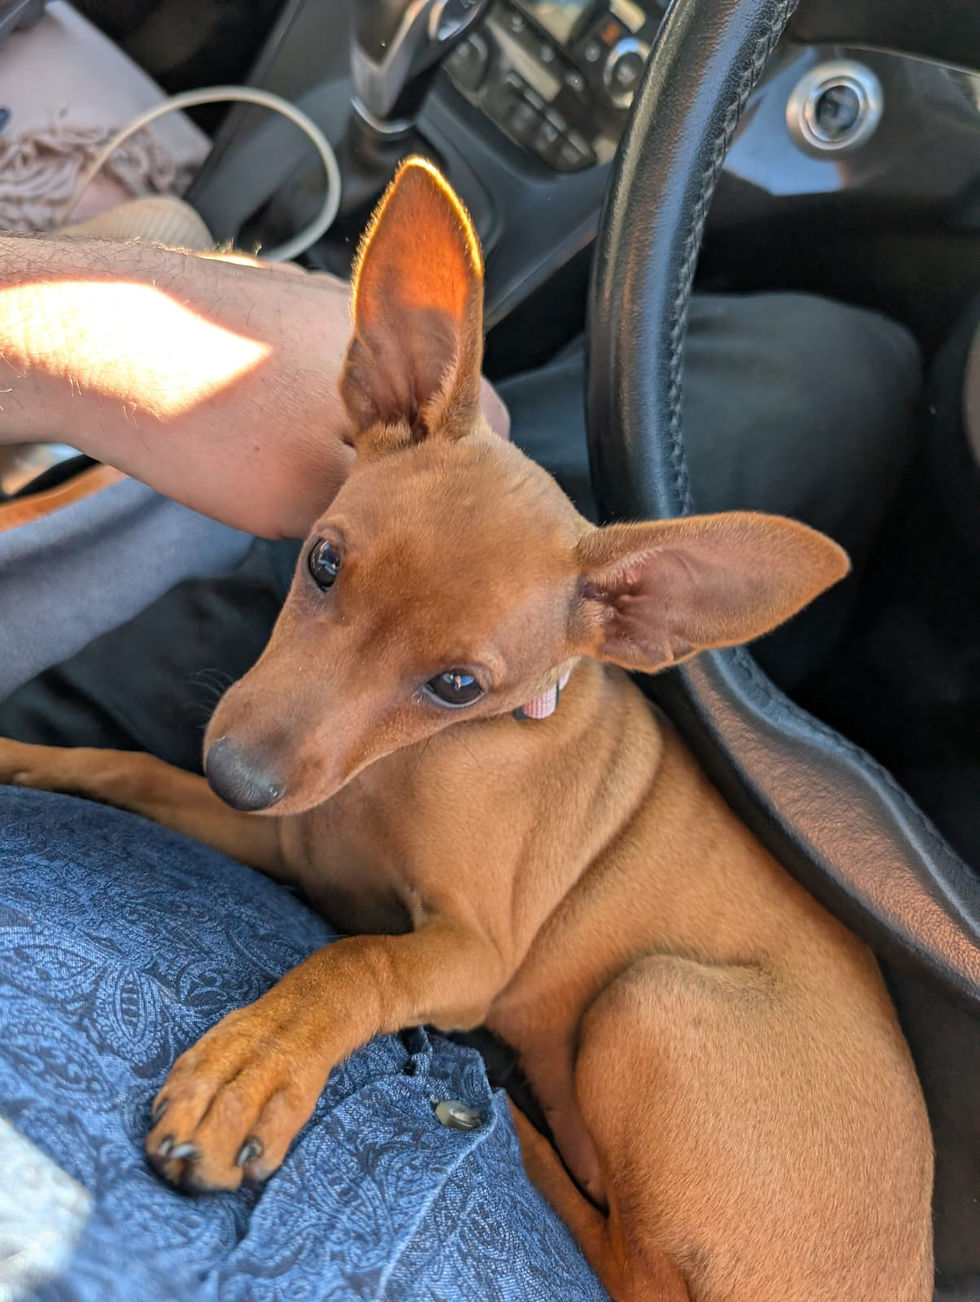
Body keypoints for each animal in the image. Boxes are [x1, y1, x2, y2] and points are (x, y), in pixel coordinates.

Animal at [0, 158, 933, 1301]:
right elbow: (125, 767)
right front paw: (28, 758)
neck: (407, 774)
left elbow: (356, 965)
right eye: (321, 562)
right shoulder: (290, 837)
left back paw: (501, 1118)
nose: (237, 776)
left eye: (456, 686)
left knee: (632, 1264)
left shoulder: (470, 951)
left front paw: (253, 1068)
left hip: (648, 996)